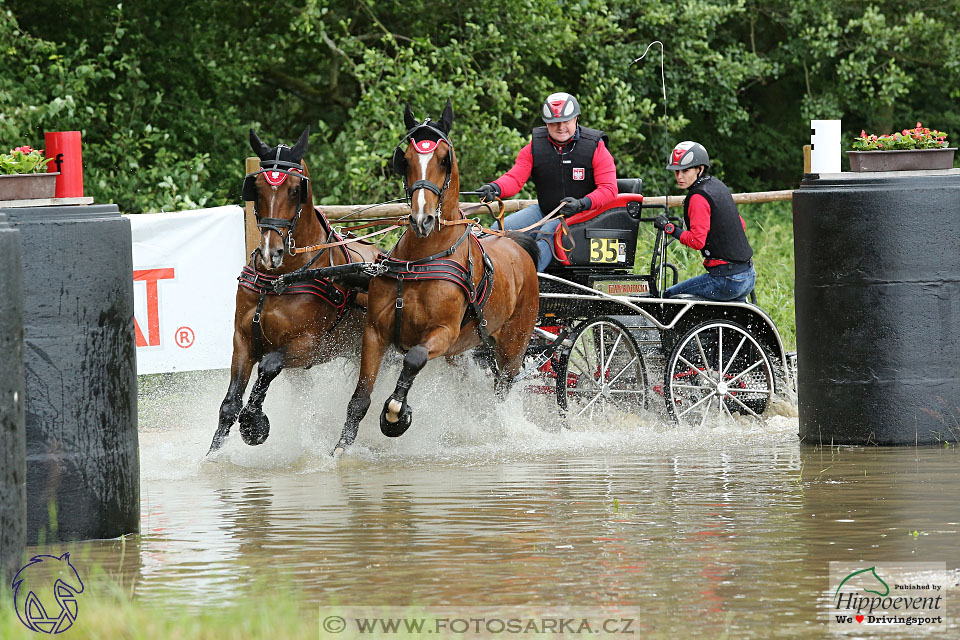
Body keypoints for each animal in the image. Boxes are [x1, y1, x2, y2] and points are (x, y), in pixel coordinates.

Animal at [208, 127, 380, 452]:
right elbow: (229, 404)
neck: (278, 280)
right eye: (256, 187)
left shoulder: (308, 347)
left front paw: (253, 422)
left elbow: (268, 366)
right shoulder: (243, 340)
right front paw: (212, 456)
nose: (269, 252)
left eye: (293, 190)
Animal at [330, 99, 540, 456]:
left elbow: (412, 360)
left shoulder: (442, 334)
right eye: (406, 160)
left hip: (513, 348)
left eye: (444, 159)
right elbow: (360, 397)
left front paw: (395, 415)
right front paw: (340, 450)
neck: (422, 260)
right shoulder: (375, 332)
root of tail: (516, 245)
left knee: (501, 389)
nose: (422, 219)